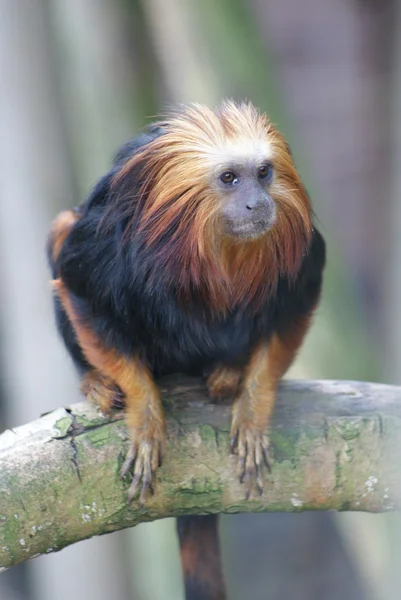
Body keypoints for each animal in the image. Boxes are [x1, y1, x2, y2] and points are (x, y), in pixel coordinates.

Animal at [48, 102, 324, 600]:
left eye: (263, 173)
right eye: (230, 178)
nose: (258, 202)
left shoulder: (301, 253)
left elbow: (291, 312)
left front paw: (252, 411)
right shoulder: (106, 244)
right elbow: (79, 289)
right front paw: (145, 416)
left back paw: (227, 372)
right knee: (61, 230)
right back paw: (96, 381)